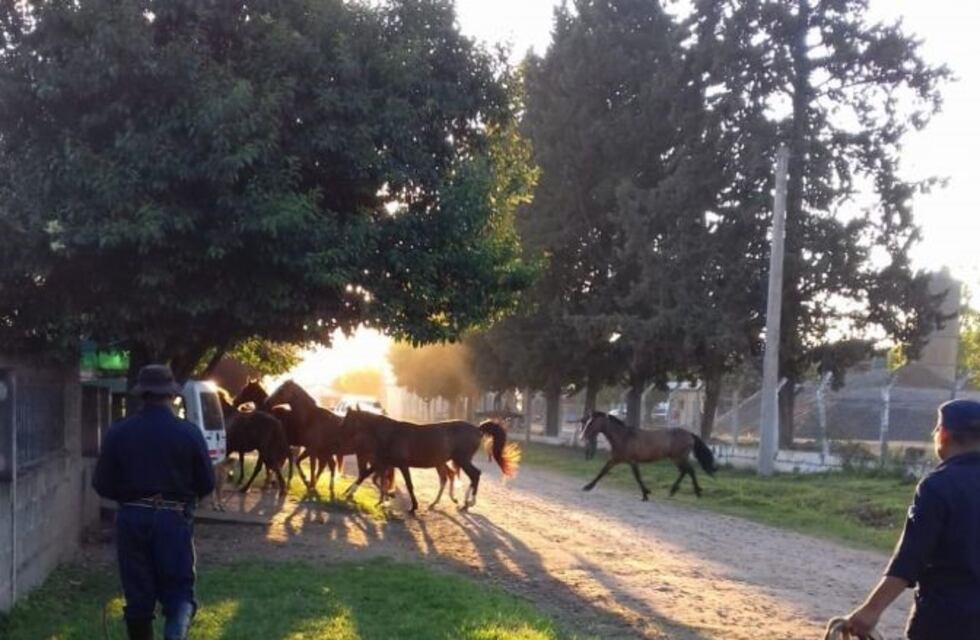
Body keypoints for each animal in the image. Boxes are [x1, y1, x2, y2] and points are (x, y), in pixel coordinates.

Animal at [340, 409, 520, 512]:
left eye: (348, 419)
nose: (341, 434)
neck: (392, 433)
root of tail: (477, 428)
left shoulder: (402, 465)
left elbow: (409, 485)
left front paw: (413, 507)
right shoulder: (384, 461)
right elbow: (364, 475)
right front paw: (348, 493)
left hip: (462, 459)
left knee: (474, 475)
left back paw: (467, 503)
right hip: (452, 461)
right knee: (454, 477)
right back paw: (447, 502)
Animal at [580, 411, 718, 500]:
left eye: (591, 423)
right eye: (586, 422)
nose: (582, 437)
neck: (624, 437)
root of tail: (689, 434)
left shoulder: (632, 461)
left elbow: (637, 477)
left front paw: (645, 494)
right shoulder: (615, 459)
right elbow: (602, 472)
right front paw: (587, 487)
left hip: (679, 457)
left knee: (689, 471)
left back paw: (695, 492)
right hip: (676, 458)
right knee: (685, 471)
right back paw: (675, 491)